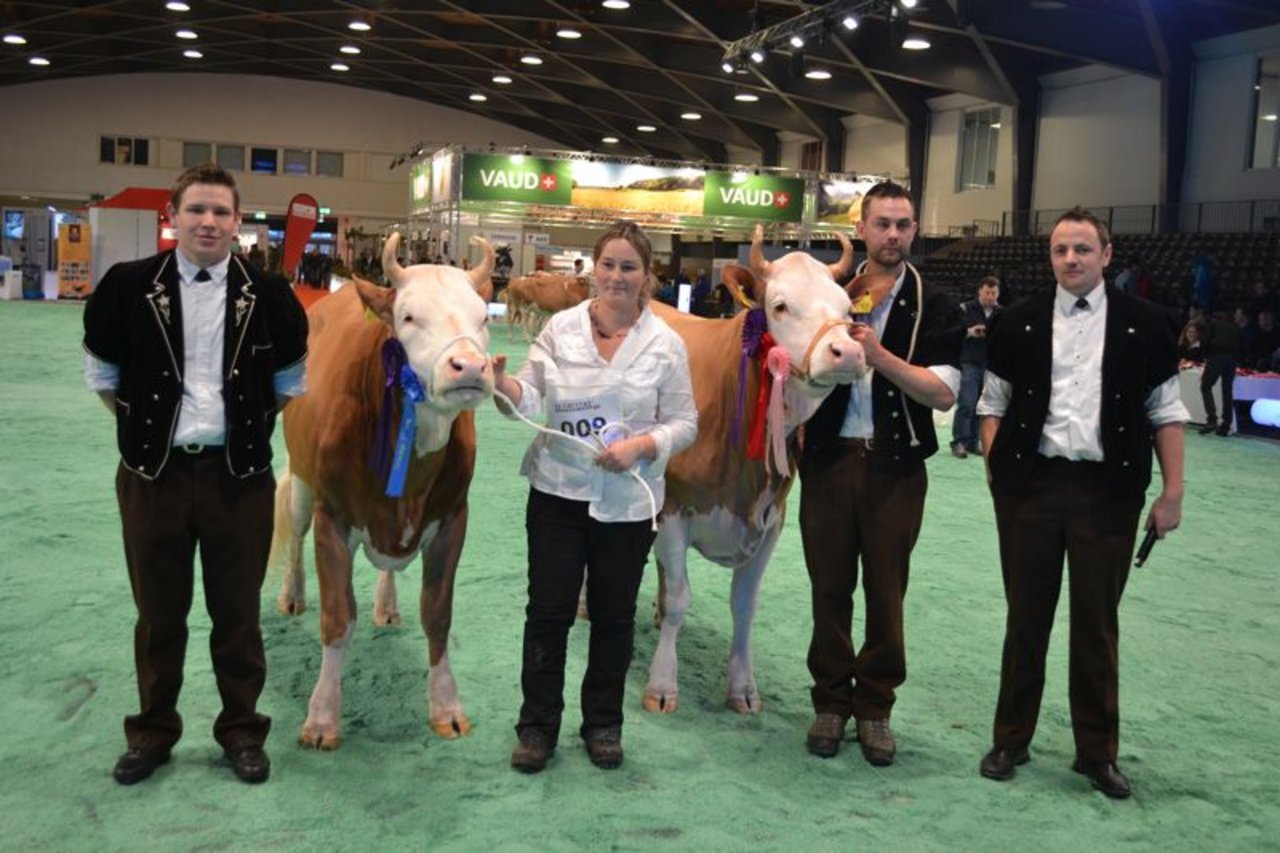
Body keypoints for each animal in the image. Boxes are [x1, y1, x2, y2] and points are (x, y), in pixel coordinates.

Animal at [275, 233, 494, 742]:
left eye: (482, 316)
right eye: (409, 316)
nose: (470, 367)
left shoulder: (452, 516)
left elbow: (438, 614)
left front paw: (446, 705)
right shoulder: (332, 516)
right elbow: (337, 617)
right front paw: (322, 716)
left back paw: (387, 603)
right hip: (301, 480)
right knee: (293, 537)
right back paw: (292, 594)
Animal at [645, 224, 885, 712]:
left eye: (847, 310)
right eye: (779, 306)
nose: (847, 352)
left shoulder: (770, 523)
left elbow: (744, 606)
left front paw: (742, 687)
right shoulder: (674, 507)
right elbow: (681, 598)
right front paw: (662, 685)